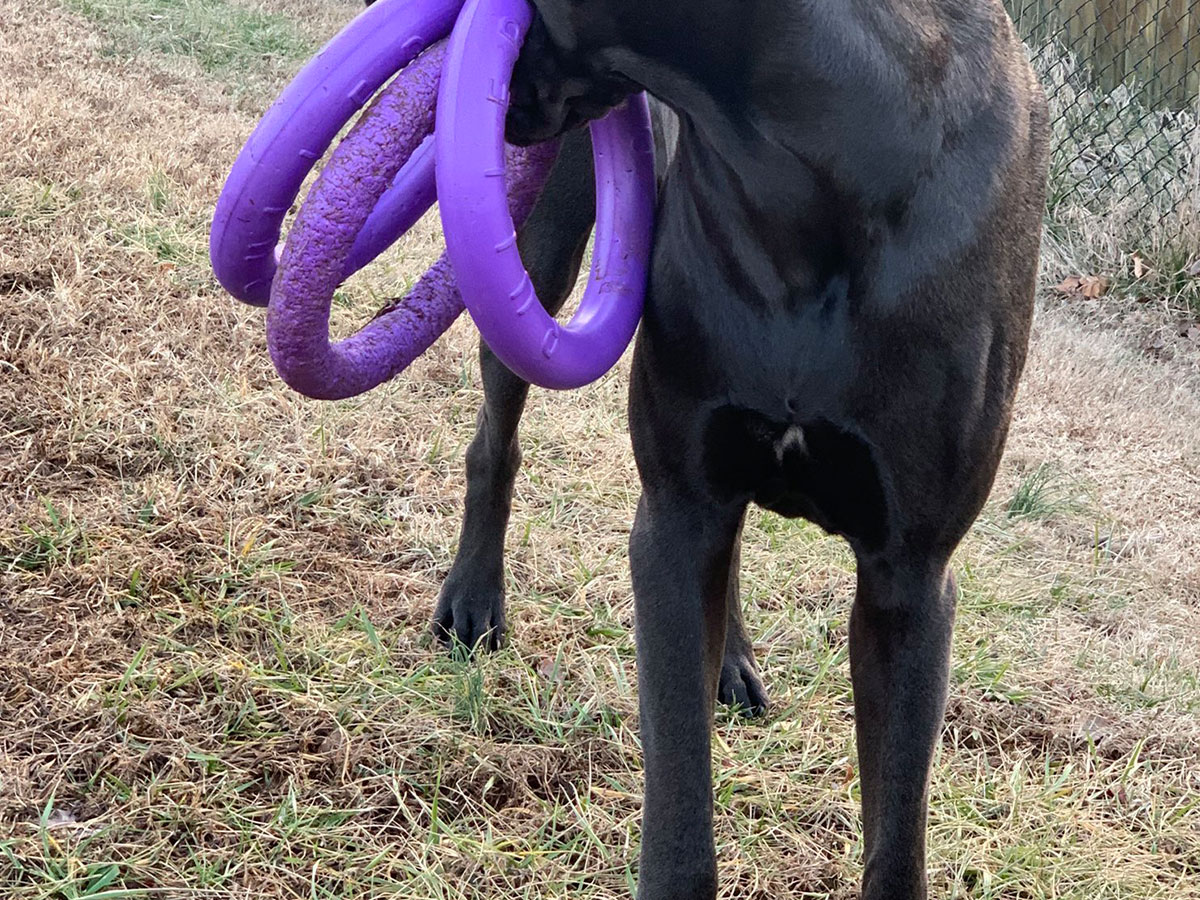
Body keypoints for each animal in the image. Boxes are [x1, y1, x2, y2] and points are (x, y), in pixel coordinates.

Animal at [360, 0, 1046, 897]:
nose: (435, 60)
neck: (809, 158)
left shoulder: (910, 579)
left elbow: (897, 838)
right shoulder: (678, 518)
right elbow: (681, 807)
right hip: (544, 252)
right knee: (494, 443)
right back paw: (474, 598)